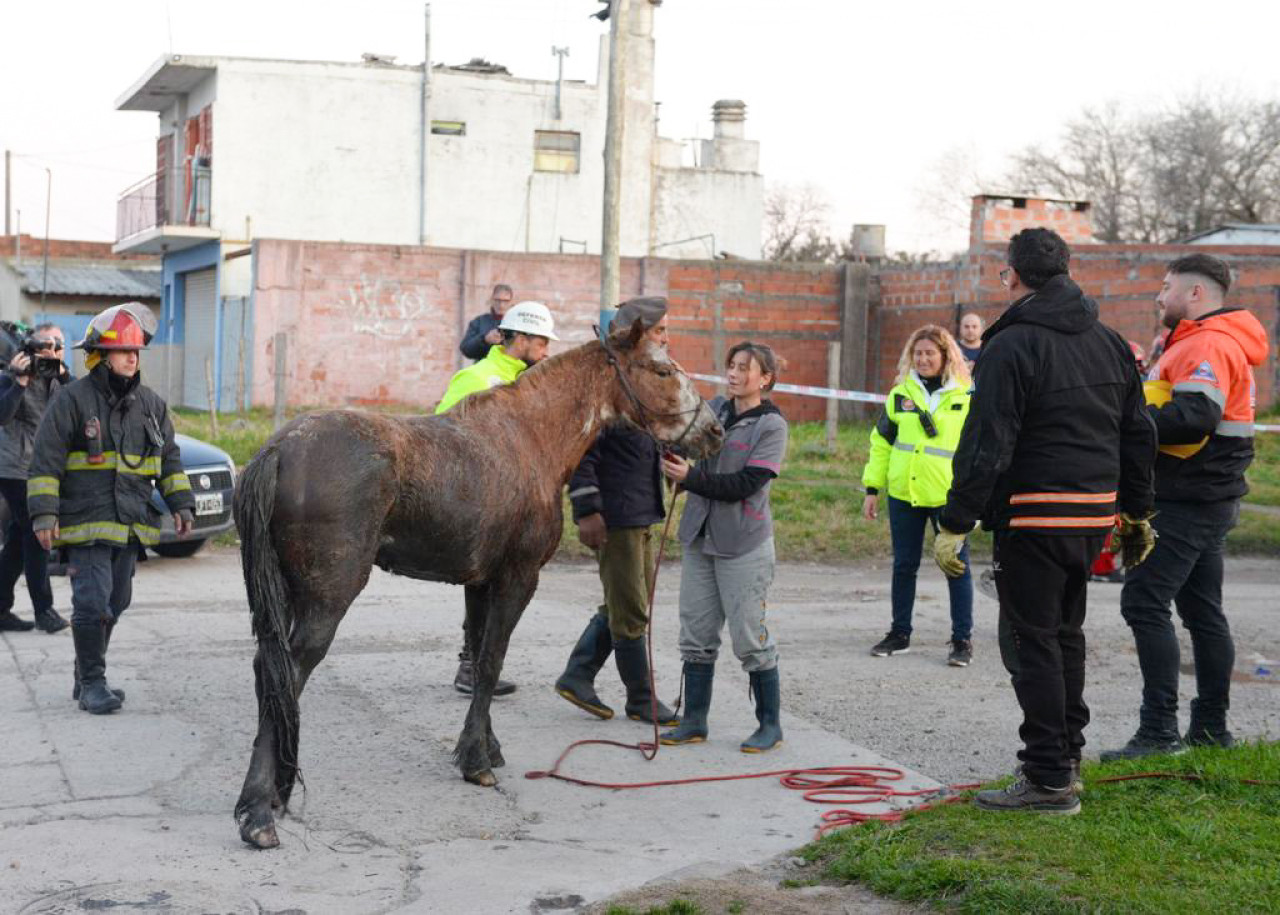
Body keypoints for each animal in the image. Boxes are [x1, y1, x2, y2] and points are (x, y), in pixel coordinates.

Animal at [231, 323, 727, 849]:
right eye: (661, 370)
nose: (715, 431)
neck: (530, 438)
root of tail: (279, 450)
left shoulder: (480, 583)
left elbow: (482, 654)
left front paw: (487, 746)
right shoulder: (518, 578)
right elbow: (490, 663)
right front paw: (475, 761)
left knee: (269, 673)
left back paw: (274, 793)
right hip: (326, 600)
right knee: (288, 675)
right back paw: (258, 810)